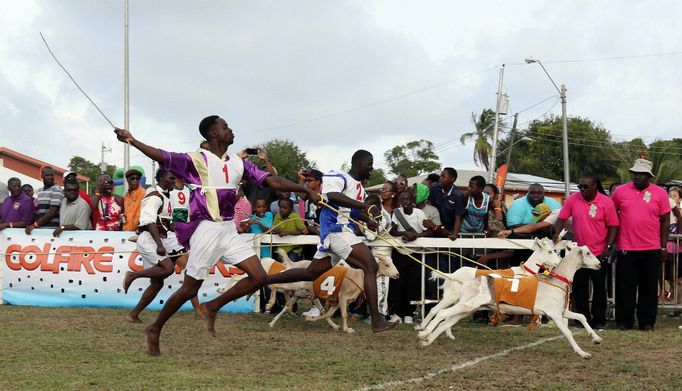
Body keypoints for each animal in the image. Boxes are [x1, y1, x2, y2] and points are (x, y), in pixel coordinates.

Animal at [418, 245, 604, 362]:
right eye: (588, 253)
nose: (599, 264)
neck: (557, 280)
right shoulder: (555, 315)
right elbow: (568, 333)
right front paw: (583, 353)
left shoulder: (562, 311)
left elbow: (581, 316)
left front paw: (595, 338)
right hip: (465, 304)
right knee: (440, 313)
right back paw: (423, 332)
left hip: (467, 308)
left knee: (445, 322)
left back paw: (427, 341)